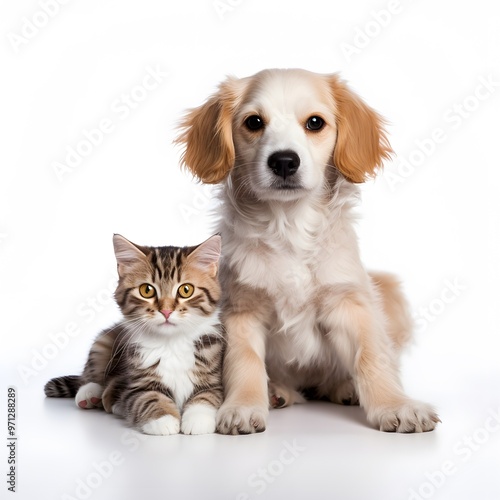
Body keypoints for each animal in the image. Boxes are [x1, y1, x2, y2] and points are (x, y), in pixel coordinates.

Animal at [45, 234, 225, 434]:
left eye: (186, 290)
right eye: (147, 290)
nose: (166, 311)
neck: (171, 342)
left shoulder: (214, 377)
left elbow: (207, 396)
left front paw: (197, 419)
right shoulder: (137, 385)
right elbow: (150, 398)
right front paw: (163, 420)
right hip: (102, 342)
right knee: (90, 376)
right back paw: (90, 394)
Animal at [175, 69, 438, 434]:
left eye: (315, 123)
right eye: (254, 122)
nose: (284, 161)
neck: (289, 225)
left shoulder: (350, 302)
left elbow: (373, 357)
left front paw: (395, 405)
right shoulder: (241, 309)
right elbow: (244, 362)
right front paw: (242, 406)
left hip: (387, 288)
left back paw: (345, 388)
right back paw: (278, 392)